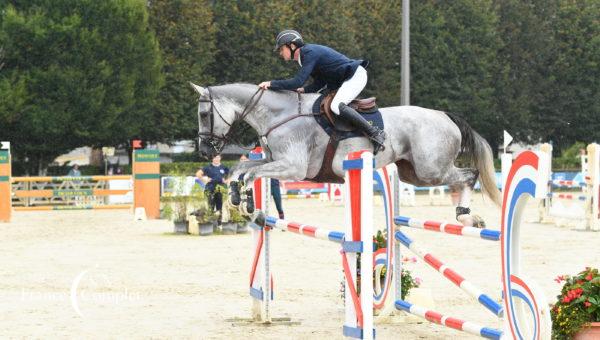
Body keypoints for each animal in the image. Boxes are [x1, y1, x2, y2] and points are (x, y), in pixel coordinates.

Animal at [192, 82, 502, 226]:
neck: (279, 115)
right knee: (461, 177)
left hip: (431, 170)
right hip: (412, 173)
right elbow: (240, 169)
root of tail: (444, 115)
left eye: (204, 114)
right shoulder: (274, 160)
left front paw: (245, 204)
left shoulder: (293, 167)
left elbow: (251, 173)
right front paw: (237, 199)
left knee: (468, 175)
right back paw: (466, 216)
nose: (205, 151)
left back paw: (466, 217)